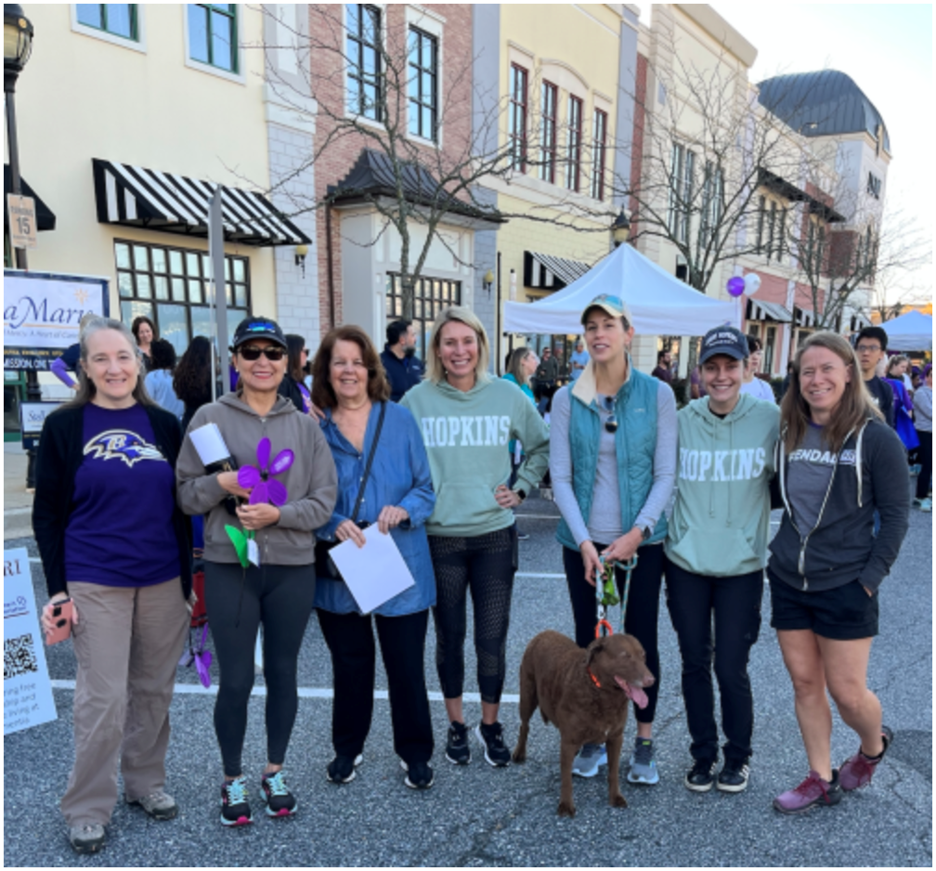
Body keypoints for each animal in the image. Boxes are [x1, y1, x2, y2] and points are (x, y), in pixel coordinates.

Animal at [512, 632, 652, 816]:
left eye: (643, 656)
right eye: (625, 656)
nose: (651, 680)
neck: (602, 693)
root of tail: (544, 632)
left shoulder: (616, 737)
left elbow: (613, 772)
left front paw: (615, 797)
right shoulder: (568, 741)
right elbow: (566, 778)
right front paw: (565, 805)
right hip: (527, 694)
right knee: (524, 725)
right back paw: (519, 752)